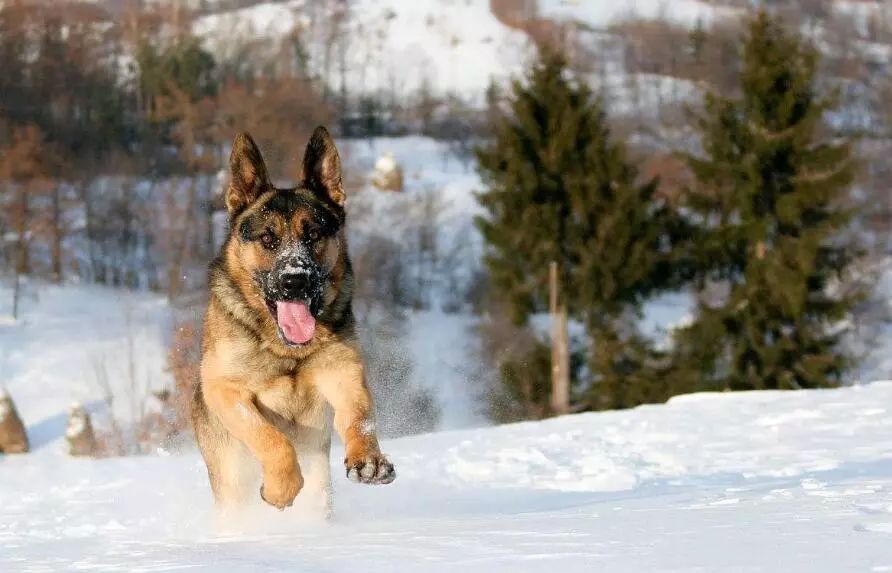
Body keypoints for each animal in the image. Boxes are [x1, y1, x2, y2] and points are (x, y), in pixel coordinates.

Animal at [193, 127, 396, 512]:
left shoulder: (342, 373)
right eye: (267, 238)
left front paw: (368, 459)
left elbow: (360, 416)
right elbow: (269, 436)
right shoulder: (225, 389)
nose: (295, 281)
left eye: (313, 234)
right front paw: (280, 488)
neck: (285, 350)